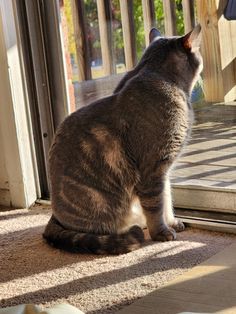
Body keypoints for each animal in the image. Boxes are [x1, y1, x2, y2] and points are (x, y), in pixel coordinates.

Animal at [43, 24, 203, 255]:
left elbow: (167, 199)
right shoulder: (153, 169)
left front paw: (172, 222)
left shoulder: (164, 171)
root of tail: (54, 217)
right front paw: (161, 232)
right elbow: (156, 206)